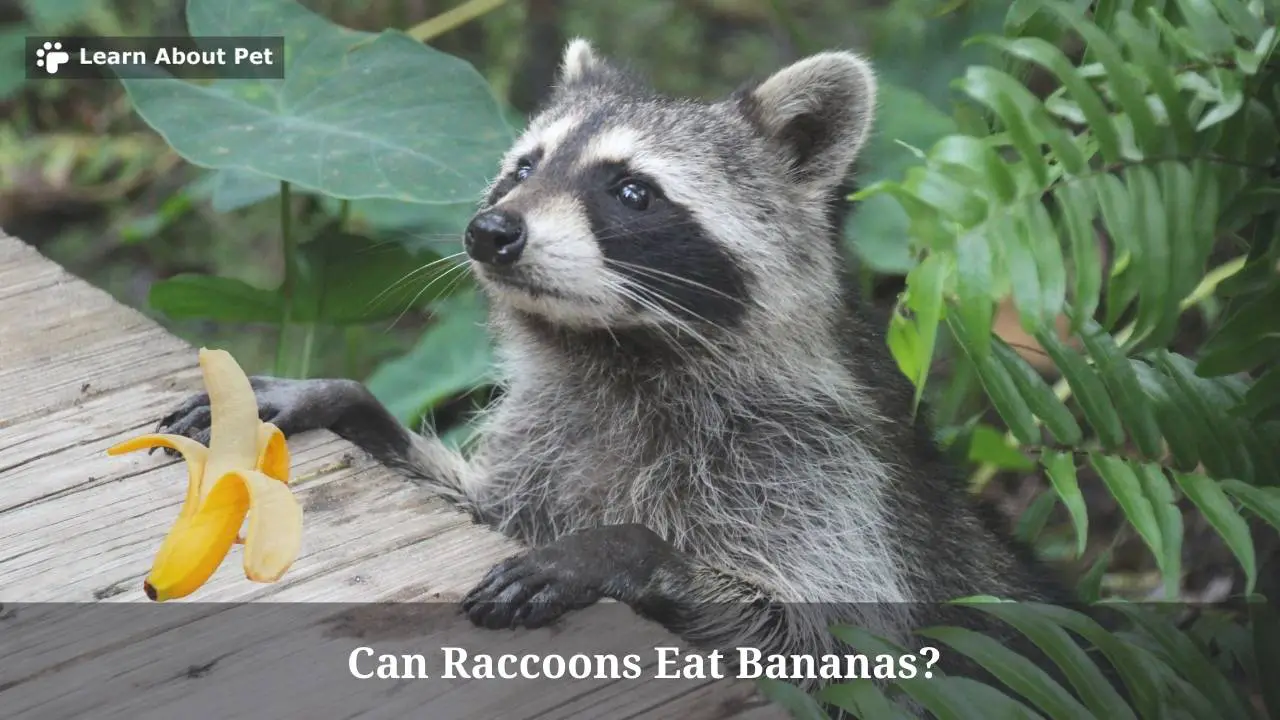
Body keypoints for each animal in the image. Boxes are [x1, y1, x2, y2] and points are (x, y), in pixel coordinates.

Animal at [159, 39, 1069, 686]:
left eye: (632, 191)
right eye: (524, 167)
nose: (490, 231)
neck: (616, 350)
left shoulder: (819, 474)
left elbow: (828, 645)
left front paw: (624, 549)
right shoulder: (550, 440)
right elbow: (477, 504)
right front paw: (347, 402)